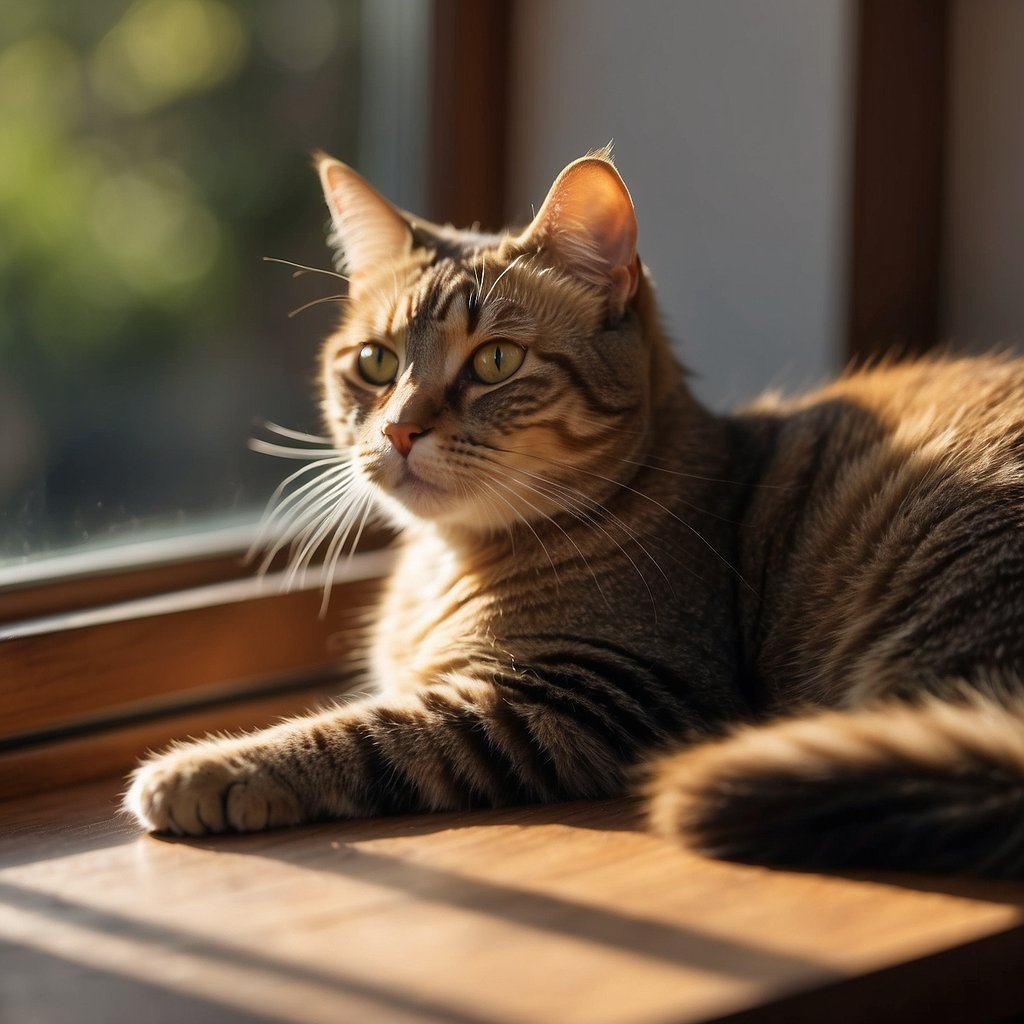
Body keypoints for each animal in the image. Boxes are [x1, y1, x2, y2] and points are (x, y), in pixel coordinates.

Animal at [123, 148, 1024, 876]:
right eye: (375, 363)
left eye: (495, 361)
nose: (400, 428)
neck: (450, 560)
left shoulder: (591, 692)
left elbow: (364, 732)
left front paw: (207, 767)